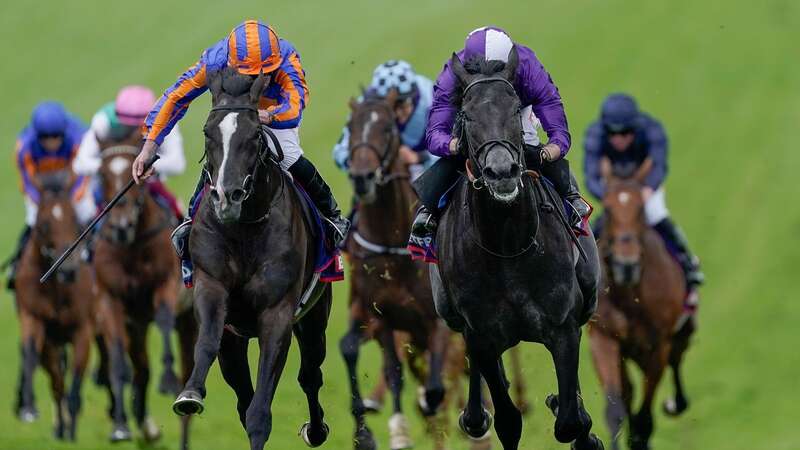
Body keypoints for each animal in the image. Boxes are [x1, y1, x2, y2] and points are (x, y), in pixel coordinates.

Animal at [14, 171, 95, 440]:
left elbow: (75, 384)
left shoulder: (83, 330)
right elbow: (38, 362)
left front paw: (72, 431)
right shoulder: (37, 322)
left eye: (75, 219)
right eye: (44, 224)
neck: (57, 289)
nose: (69, 270)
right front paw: (30, 407)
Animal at [91, 143, 195, 446]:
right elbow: (118, 362)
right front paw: (120, 426)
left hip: (188, 324)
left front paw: (168, 378)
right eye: (102, 174)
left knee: (186, 375)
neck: (131, 248)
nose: (121, 227)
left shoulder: (166, 284)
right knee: (141, 369)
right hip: (136, 328)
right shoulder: (109, 302)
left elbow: (164, 319)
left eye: (130, 171)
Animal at [340, 92, 454, 450]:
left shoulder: (437, 319)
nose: (362, 177)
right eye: (351, 127)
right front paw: (388, 432)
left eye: (388, 128)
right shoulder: (382, 316)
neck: (393, 246)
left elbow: (435, 388)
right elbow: (392, 373)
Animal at [588, 161, 692, 450]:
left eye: (641, 209)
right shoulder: (604, 338)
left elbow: (645, 418)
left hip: (680, 333)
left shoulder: (658, 347)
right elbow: (615, 410)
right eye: (608, 209)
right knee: (628, 392)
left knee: (676, 363)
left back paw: (675, 403)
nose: (626, 265)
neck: (629, 296)